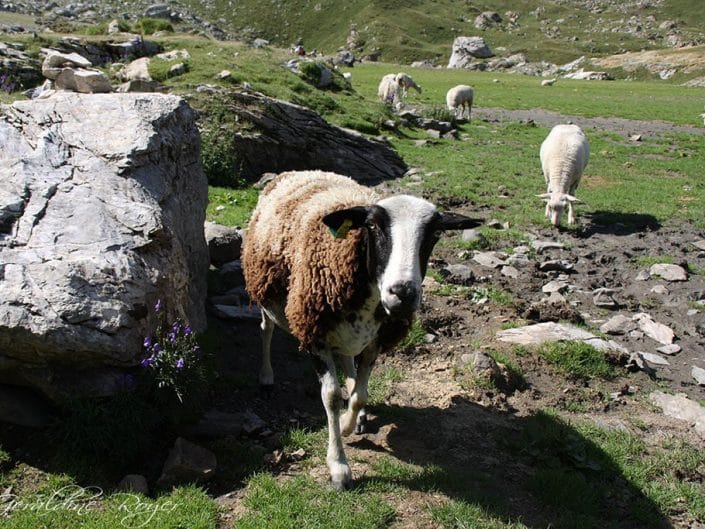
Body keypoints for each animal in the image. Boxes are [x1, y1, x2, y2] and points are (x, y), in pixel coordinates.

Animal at [241, 171, 478, 488]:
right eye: (373, 226)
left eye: (434, 234)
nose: (402, 293)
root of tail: (299, 171)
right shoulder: (314, 335)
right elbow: (331, 396)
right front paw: (338, 465)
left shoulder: (375, 342)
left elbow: (360, 394)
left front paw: (347, 422)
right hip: (266, 294)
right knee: (266, 329)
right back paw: (266, 376)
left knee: (348, 363)